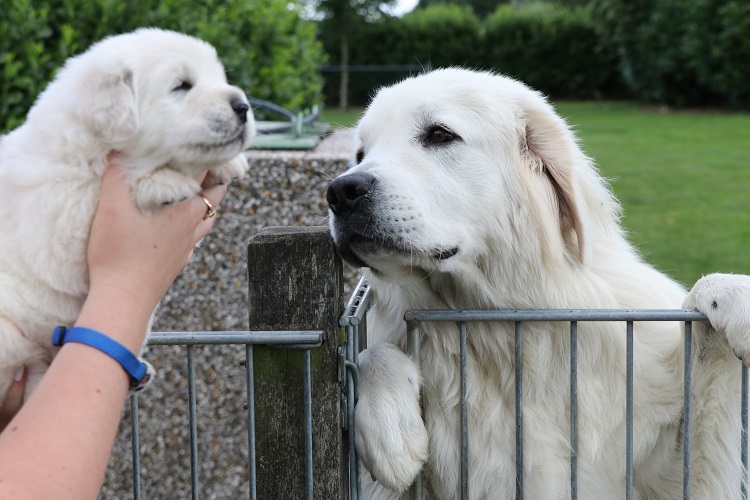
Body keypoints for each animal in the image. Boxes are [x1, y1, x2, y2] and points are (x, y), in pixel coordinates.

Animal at [0, 27, 256, 404]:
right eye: (181, 85)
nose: (243, 107)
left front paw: (227, 165)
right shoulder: (66, 217)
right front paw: (160, 183)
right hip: (10, 338)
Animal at [328, 68, 750, 498]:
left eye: (440, 134)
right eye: (360, 155)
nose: (340, 191)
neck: (497, 329)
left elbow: (705, 299)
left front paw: (735, 297)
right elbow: (372, 352)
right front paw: (391, 433)